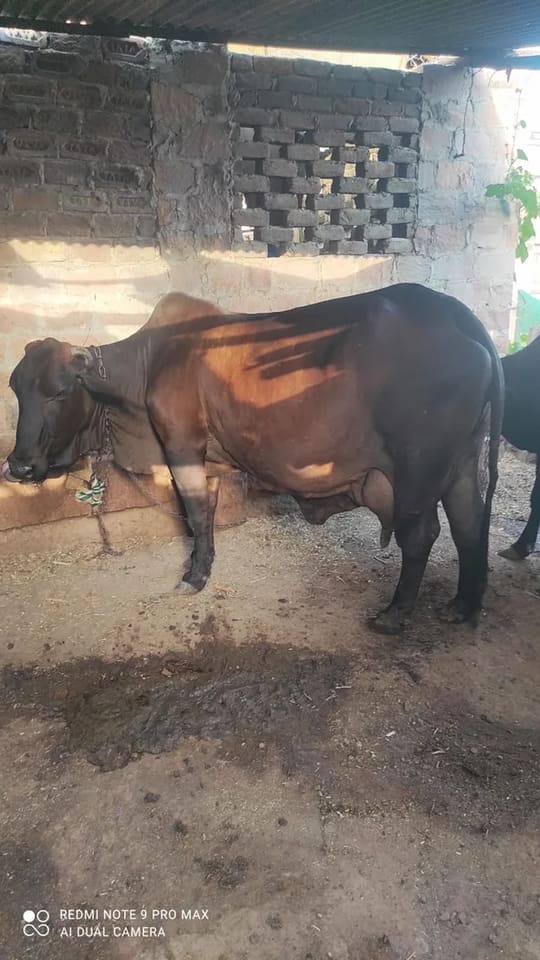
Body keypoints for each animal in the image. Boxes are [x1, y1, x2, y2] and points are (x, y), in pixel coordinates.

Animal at [3, 283, 503, 635]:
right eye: (15, 388)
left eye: (60, 391)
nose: (19, 466)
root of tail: (456, 313)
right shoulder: (208, 457)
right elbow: (207, 512)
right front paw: (204, 567)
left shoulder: (181, 444)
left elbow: (194, 512)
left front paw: (193, 576)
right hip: (462, 463)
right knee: (467, 526)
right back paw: (462, 606)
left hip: (420, 466)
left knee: (420, 534)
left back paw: (395, 615)